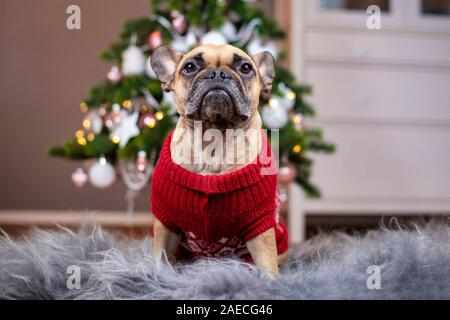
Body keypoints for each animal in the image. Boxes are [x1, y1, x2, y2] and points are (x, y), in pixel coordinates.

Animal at [149, 44, 286, 278]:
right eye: (190, 67)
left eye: (246, 68)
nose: (218, 74)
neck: (214, 142)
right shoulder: (166, 225)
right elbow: (160, 258)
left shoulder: (260, 228)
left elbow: (268, 264)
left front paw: (271, 282)